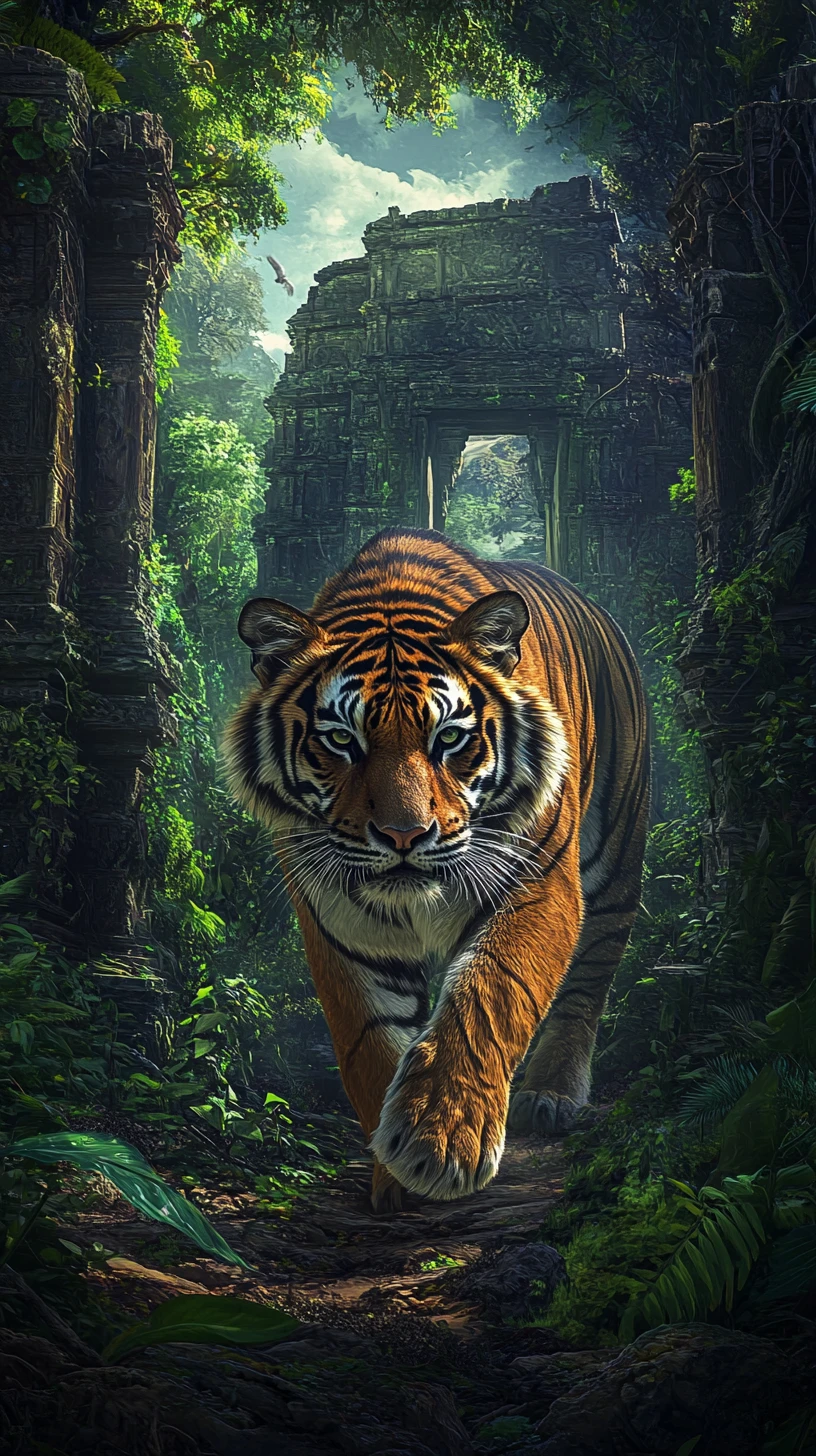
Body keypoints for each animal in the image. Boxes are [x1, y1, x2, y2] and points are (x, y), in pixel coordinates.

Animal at [224, 528, 649, 1212]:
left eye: (448, 738)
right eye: (342, 740)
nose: (405, 834)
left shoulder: (538, 880)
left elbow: (490, 991)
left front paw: (441, 1141)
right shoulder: (338, 918)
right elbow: (370, 1040)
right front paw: (395, 1179)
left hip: (614, 855)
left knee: (591, 974)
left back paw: (551, 1094)